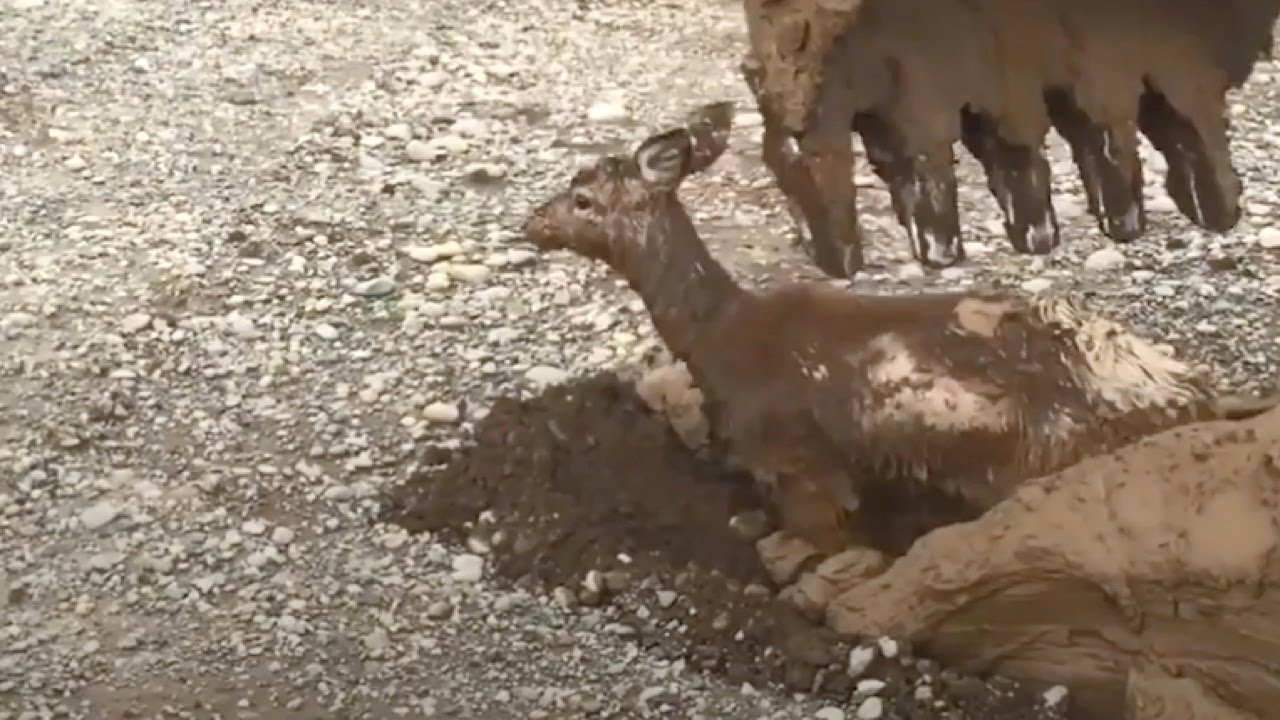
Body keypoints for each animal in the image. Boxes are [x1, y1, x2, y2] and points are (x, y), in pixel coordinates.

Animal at [521, 100, 1279, 617]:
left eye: (582, 197)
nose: (530, 222)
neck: (720, 343)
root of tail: (1195, 388)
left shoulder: (804, 464)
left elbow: (810, 541)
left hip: (1054, 456)